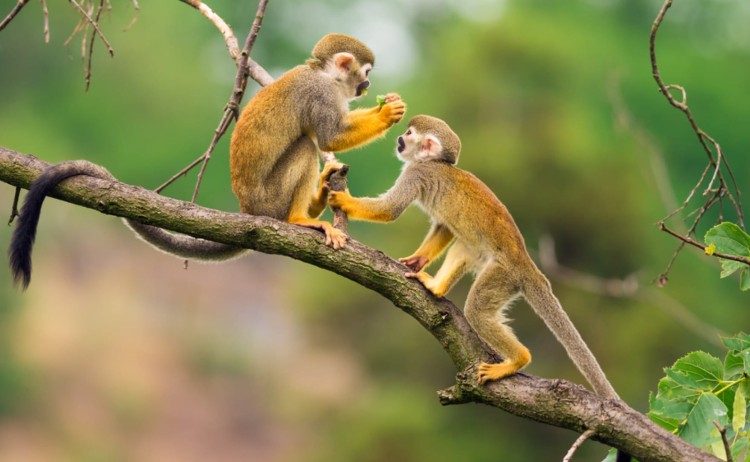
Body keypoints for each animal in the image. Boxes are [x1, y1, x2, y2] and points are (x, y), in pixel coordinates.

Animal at [8, 33, 406, 289]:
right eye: (365, 73)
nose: (368, 86)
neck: (325, 76)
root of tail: (248, 211)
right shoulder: (320, 94)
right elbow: (328, 137)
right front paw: (388, 114)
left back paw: (320, 195)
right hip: (270, 199)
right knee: (306, 146)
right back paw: (299, 218)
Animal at [327, 115, 620, 399]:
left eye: (409, 134)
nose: (399, 139)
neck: (434, 163)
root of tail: (528, 266)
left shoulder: (417, 173)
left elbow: (391, 210)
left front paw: (343, 201)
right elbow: (444, 227)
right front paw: (417, 260)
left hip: (503, 275)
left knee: (477, 309)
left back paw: (518, 359)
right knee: (464, 246)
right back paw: (436, 287)